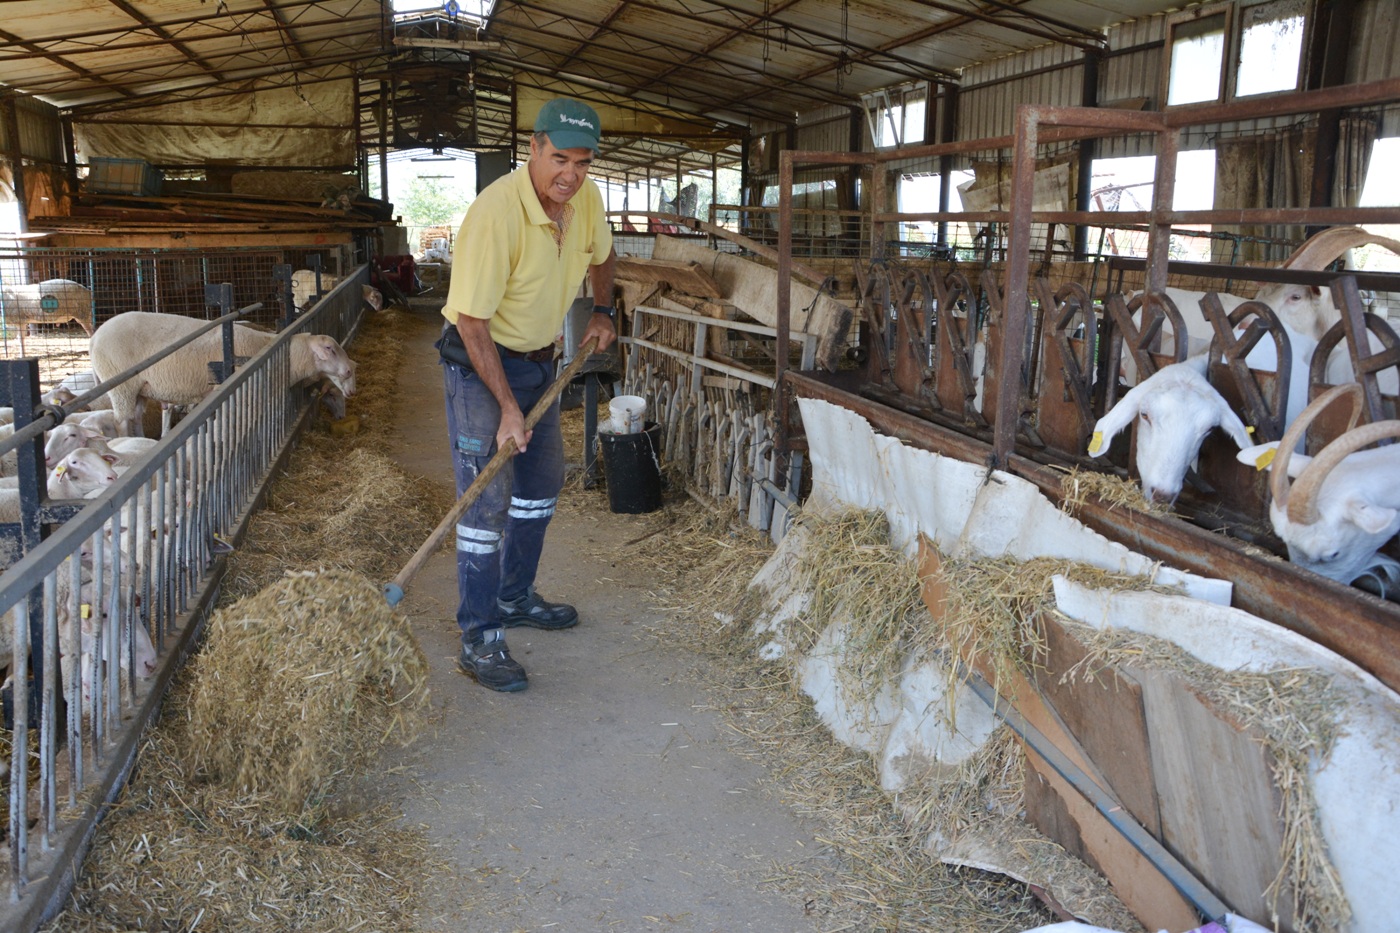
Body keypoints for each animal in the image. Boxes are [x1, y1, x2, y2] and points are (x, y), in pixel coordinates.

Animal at [89, 306, 355, 434]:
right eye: (330, 349)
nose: (350, 374)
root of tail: (95, 337)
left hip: (140, 389)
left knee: (135, 417)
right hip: (121, 384)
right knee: (122, 421)